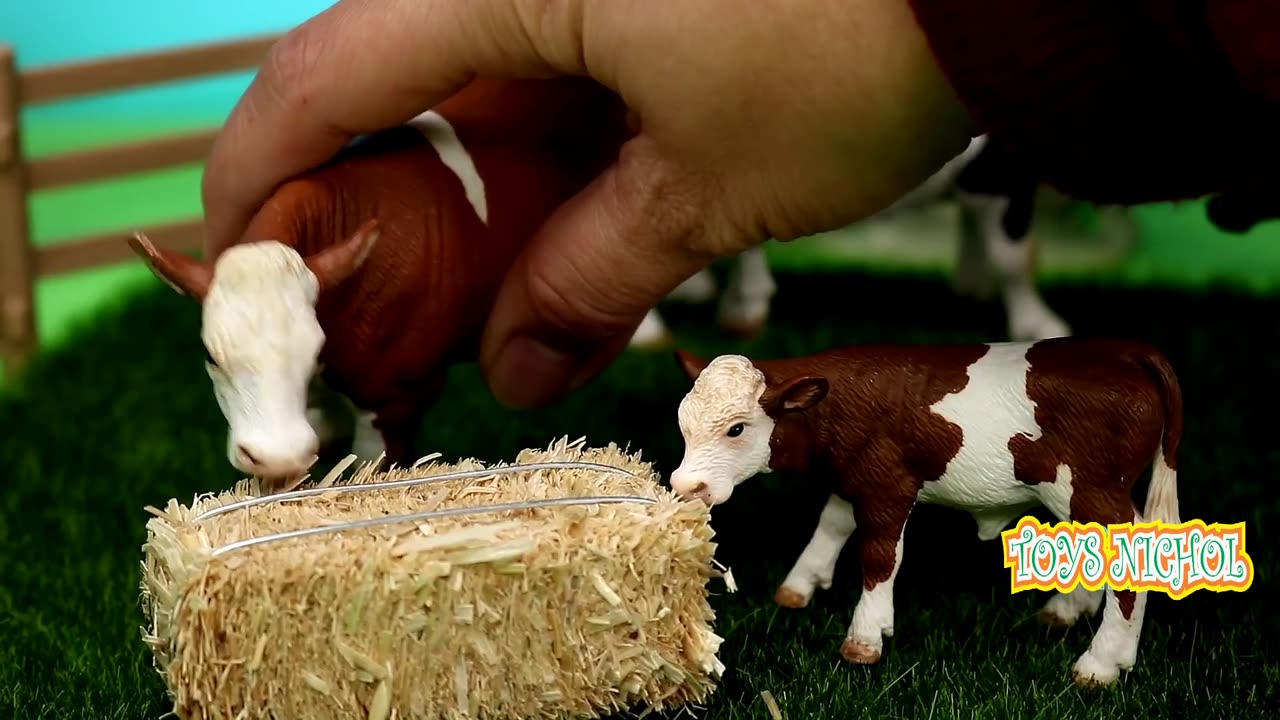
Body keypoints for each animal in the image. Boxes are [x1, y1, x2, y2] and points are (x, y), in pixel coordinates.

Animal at [670, 338, 1177, 686]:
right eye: (683, 424)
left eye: (737, 429)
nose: (686, 486)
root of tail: (1127, 349)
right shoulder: (854, 477)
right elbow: (832, 524)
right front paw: (798, 588)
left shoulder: (889, 483)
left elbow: (880, 557)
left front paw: (864, 639)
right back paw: (1067, 611)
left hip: (1086, 489)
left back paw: (1101, 664)